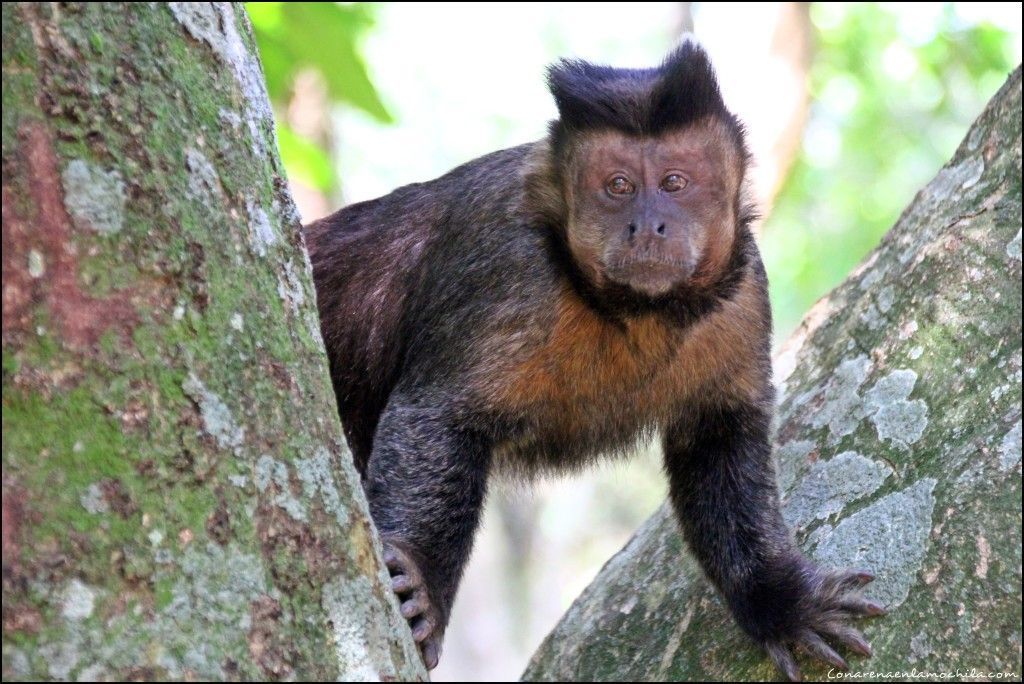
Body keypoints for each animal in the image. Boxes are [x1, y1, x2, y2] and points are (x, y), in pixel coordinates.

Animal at [299, 41, 884, 679]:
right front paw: (421, 579)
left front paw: (780, 602)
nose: (648, 223)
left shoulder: (746, 289)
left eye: (674, 182)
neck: (633, 308)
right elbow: (434, 416)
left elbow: (719, 441)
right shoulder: (506, 262)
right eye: (619, 185)